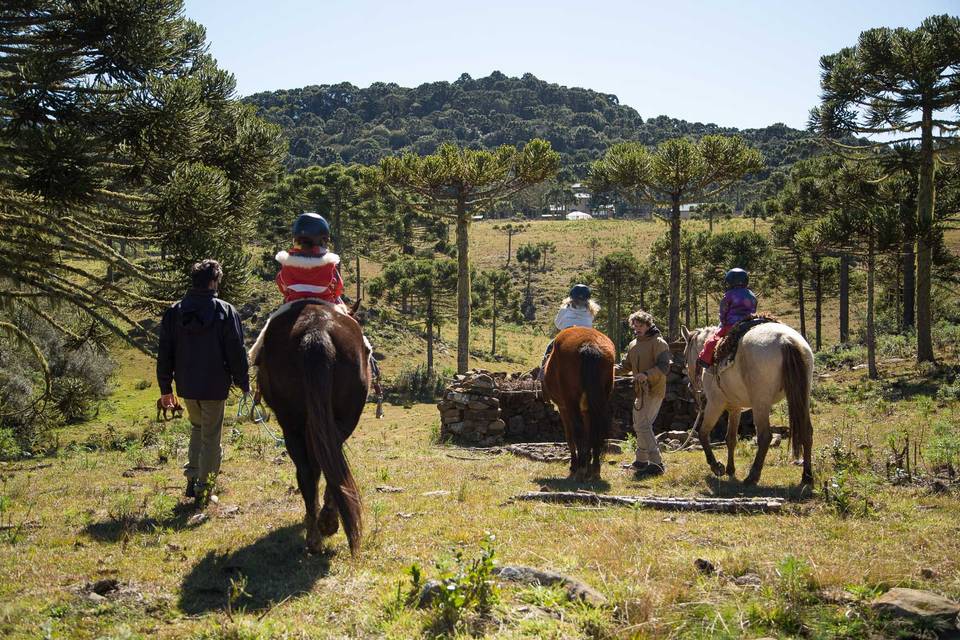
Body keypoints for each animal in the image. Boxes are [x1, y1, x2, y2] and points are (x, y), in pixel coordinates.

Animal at [255, 302, 368, 552]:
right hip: (337, 420)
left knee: (310, 469)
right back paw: (323, 525)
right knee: (323, 464)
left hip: (292, 424)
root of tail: (316, 332)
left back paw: (317, 531)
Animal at [540, 328, 616, 478]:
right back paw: (594, 468)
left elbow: (570, 436)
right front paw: (587, 462)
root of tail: (589, 344)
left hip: (571, 402)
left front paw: (575, 465)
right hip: (601, 399)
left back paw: (580, 469)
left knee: (578, 430)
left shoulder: (563, 408)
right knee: (596, 430)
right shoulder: (586, 409)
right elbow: (588, 435)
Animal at [680, 324, 812, 484]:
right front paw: (730, 469)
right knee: (807, 432)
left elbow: (703, 433)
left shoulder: (715, 403)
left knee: (765, 436)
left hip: (760, 403)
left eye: (685, 356)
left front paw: (716, 467)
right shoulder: (735, 408)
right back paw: (807, 476)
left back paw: (752, 476)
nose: (690, 387)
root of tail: (786, 340)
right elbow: (730, 438)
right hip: (802, 397)